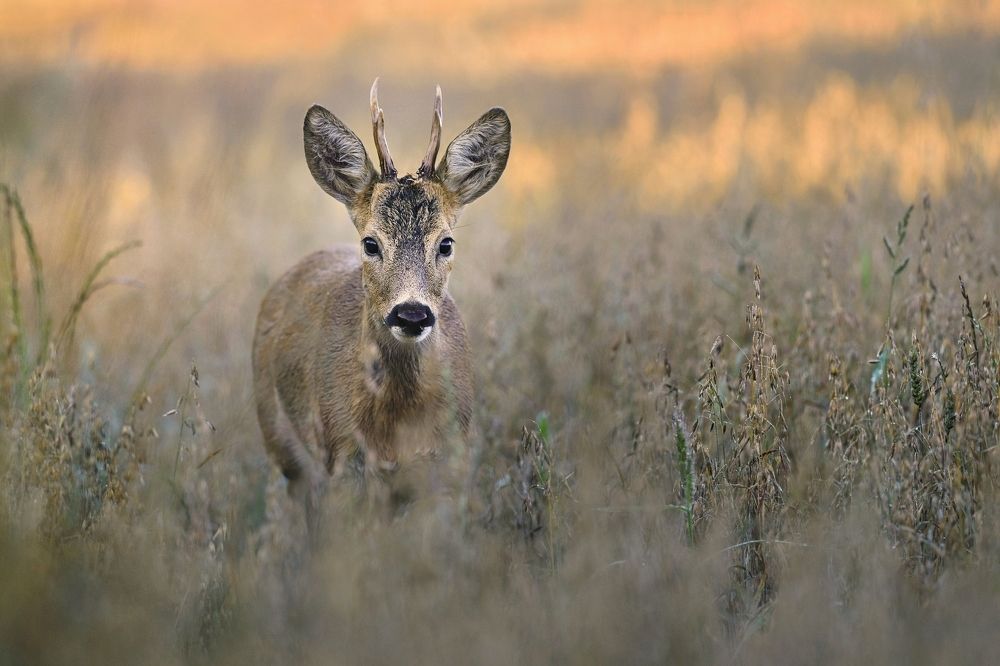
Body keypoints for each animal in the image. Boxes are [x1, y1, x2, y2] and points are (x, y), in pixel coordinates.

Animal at [252, 80, 510, 521]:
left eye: (446, 243)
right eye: (371, 243)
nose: (411, 314)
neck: (397, 421)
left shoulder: (450, 461)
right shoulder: (343, 456)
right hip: (280, 442)